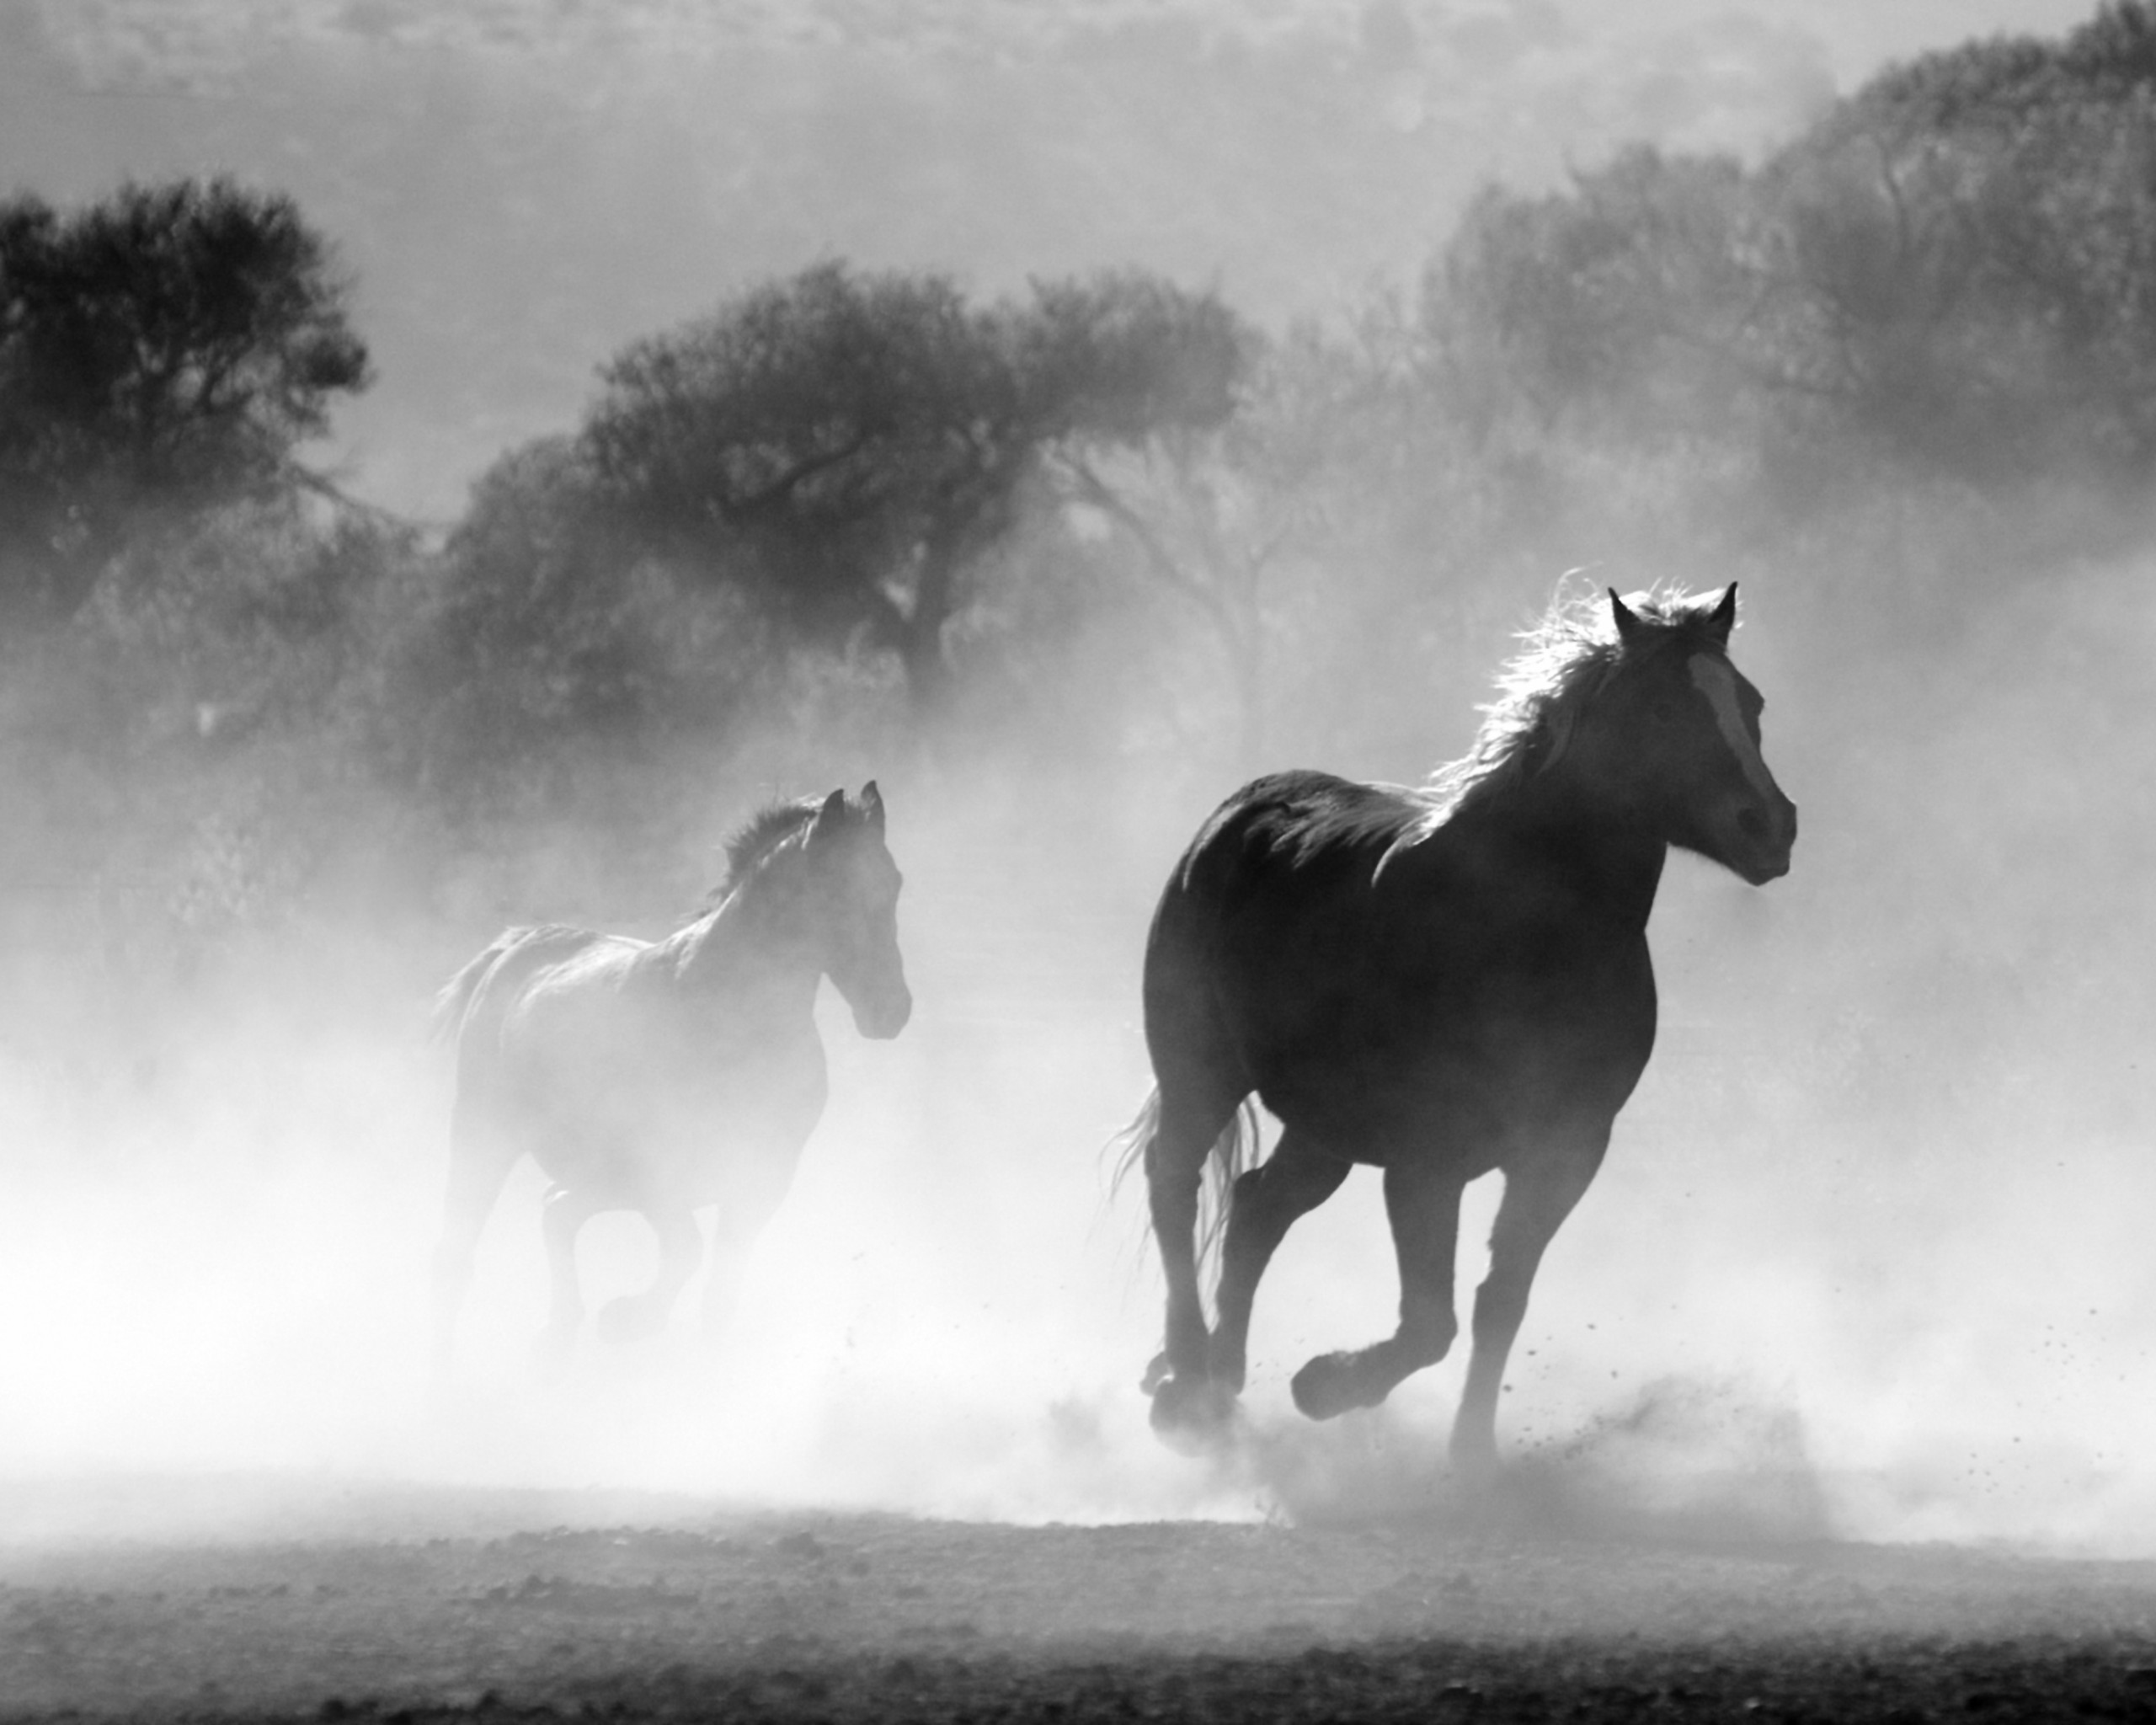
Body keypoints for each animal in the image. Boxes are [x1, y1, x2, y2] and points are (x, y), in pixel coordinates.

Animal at [429, 782, 910, 1372]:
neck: (728, 1017)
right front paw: (627, 1320)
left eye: (893, 882)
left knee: (555, 1210)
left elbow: (718, 1297)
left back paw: (557, 1336)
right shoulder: (658, 1171)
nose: (891, 1011)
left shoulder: (761, 1181)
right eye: (837, 887)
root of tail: (513, 949)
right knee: (460, 1252)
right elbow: (686, 1251)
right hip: (485, 1133)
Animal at [1118, 584, 1797, 1475]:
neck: (1523, 932)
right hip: (1202, 1073)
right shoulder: (1426, 1161)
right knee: (1175, 1185)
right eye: (1660, 709)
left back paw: (1224, 1382)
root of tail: (1237, 815)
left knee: (1257, 1206)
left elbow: (1498, 1302)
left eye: (1750, 704)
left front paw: (1471, 1456)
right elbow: (1429, 1323)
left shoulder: (1565, 1150)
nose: (1771, 827)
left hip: (1324, 1127)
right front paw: (1325, 1385)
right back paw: (1188, 1383)